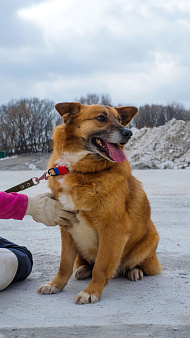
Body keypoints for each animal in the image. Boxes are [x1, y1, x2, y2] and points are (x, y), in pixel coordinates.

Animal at [38, 102, 162, 304]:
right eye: (101, 118)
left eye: (119, 119)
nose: (128, 133)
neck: (80, 171)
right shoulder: (66, 225)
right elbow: (64, 264)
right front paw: (55, 284)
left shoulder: (113, 228)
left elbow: (101, 267)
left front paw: (92, 291)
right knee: (84, 263)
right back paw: (83, 269)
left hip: (150, 240)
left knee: (136, 265)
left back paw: (135, 271)